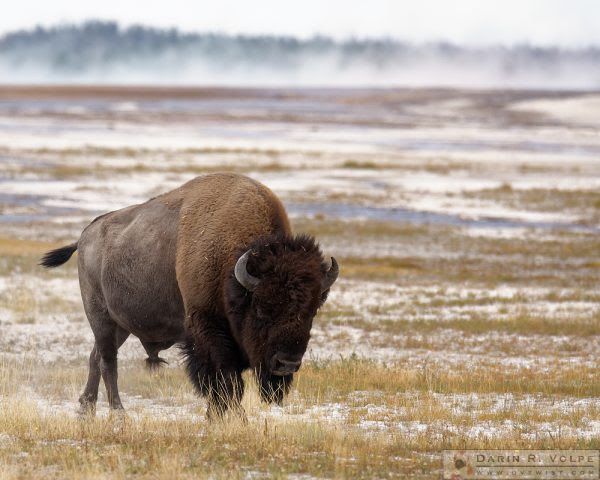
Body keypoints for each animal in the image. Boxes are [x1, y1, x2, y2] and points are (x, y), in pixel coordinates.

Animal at [41, 172, 338, 416]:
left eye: (312, 311)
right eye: (263, 308)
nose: (287, 363)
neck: (233, 268)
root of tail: (85, 235)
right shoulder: (207, 331)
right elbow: (226, 382)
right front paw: (230, 419)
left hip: (119, 325)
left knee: (95, 358)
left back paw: (86, 408)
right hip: (99, 316)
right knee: (107, 362)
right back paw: (118, 413)